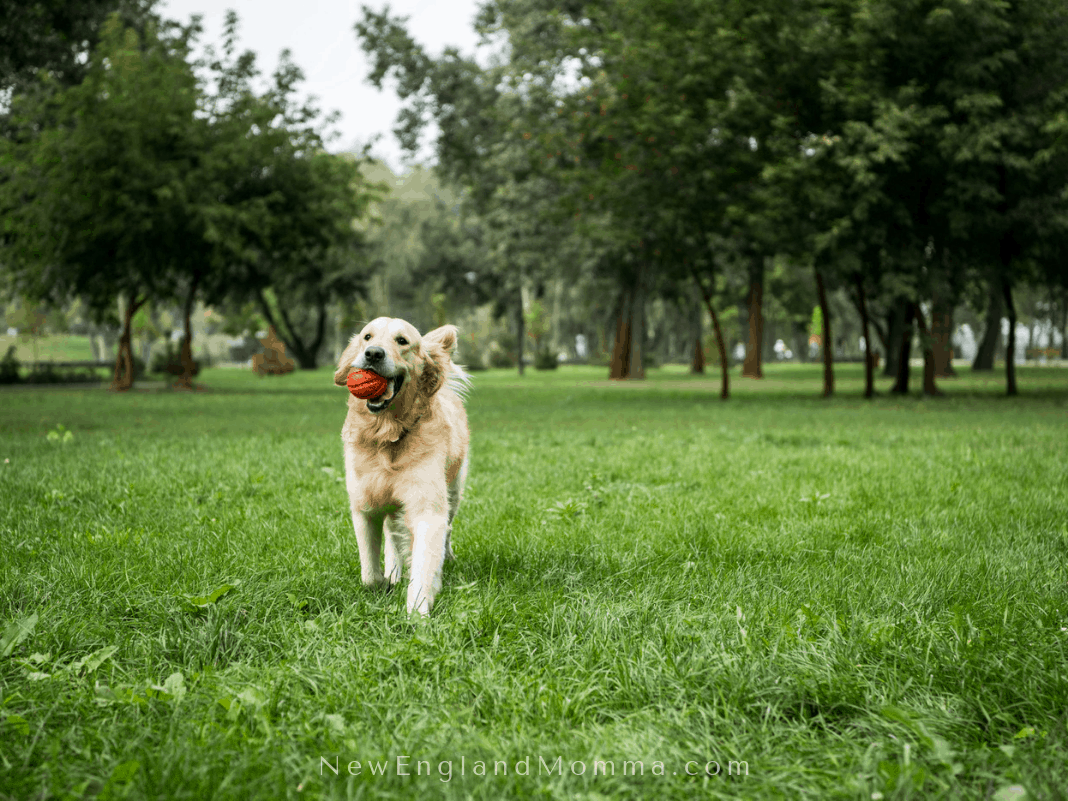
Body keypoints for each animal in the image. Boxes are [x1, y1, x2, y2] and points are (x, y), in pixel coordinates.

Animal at [331, 318, 469, 615]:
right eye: (367, 336)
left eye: (402, 341)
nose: (373, 353)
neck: (387, 435)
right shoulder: (365, 505)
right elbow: (369, 574)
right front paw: (384, 582)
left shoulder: (428, 507)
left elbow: (425, 562)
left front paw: (418, 612)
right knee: (393, 535)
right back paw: (394, 571)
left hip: (453, 489)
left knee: (447, 530)